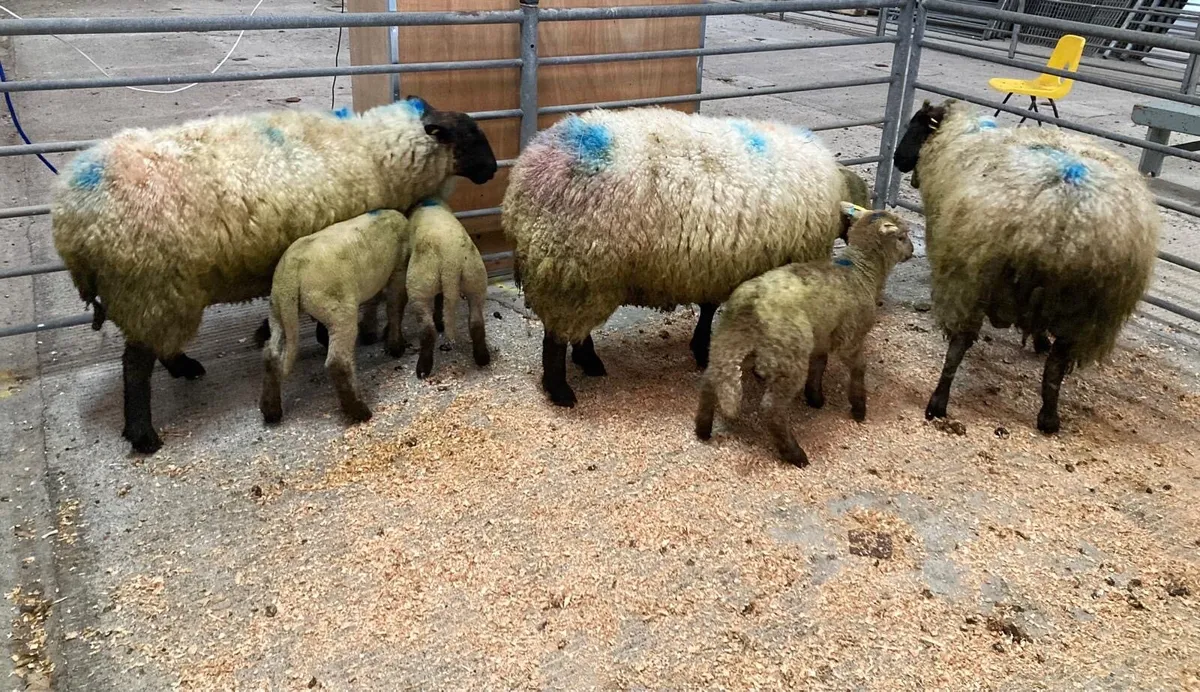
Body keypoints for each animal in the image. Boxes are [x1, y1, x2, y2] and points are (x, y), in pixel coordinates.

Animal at [260, 210, 411, 424]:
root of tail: (291, 271)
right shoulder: (399, 266)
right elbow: (395, 305)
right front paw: (395, 346)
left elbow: (374, 302)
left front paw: (372, 333)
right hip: (338, 310)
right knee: (338, 361)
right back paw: (359, 411)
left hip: (277, 307)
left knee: (270, 353)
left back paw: (271, 410)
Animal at [405, 197, 491, 378]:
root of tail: (451, 261)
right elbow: (440, 298)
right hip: (475, 279)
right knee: (476, 322)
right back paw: (482, 358)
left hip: (419, 287)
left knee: (428, 331)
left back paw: (422, 369)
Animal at [501, 107, 858, 407]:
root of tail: (525, 176)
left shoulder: (718, 266)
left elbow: (709, 308)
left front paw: (701, 347)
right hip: (573, 269)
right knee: (555, 338)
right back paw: (562, 390)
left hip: (575, 274)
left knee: (570, 331)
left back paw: (588, 361)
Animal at [695, 203, 914, 466]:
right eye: (901, 237)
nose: (912, 251)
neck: (861, 271)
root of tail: (749, 303)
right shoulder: (850, 338)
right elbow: (859, 368)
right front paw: (859, 408)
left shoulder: (822, 336)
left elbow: (819, 364)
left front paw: (815, 397)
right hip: (788, 355)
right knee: (771, 408)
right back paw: (794, 453)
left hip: (732, 343)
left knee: (710, 379)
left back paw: (702, 429)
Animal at [892, 99, 1160, 434]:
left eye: (915, 125)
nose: (897, 159)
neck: (958, 136)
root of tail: (1062, 216)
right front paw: (1040, 340)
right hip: (1086, 309)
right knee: (1056, 366)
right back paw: (1049, 418)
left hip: (972, 281)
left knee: (958, 346)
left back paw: (938, 403)